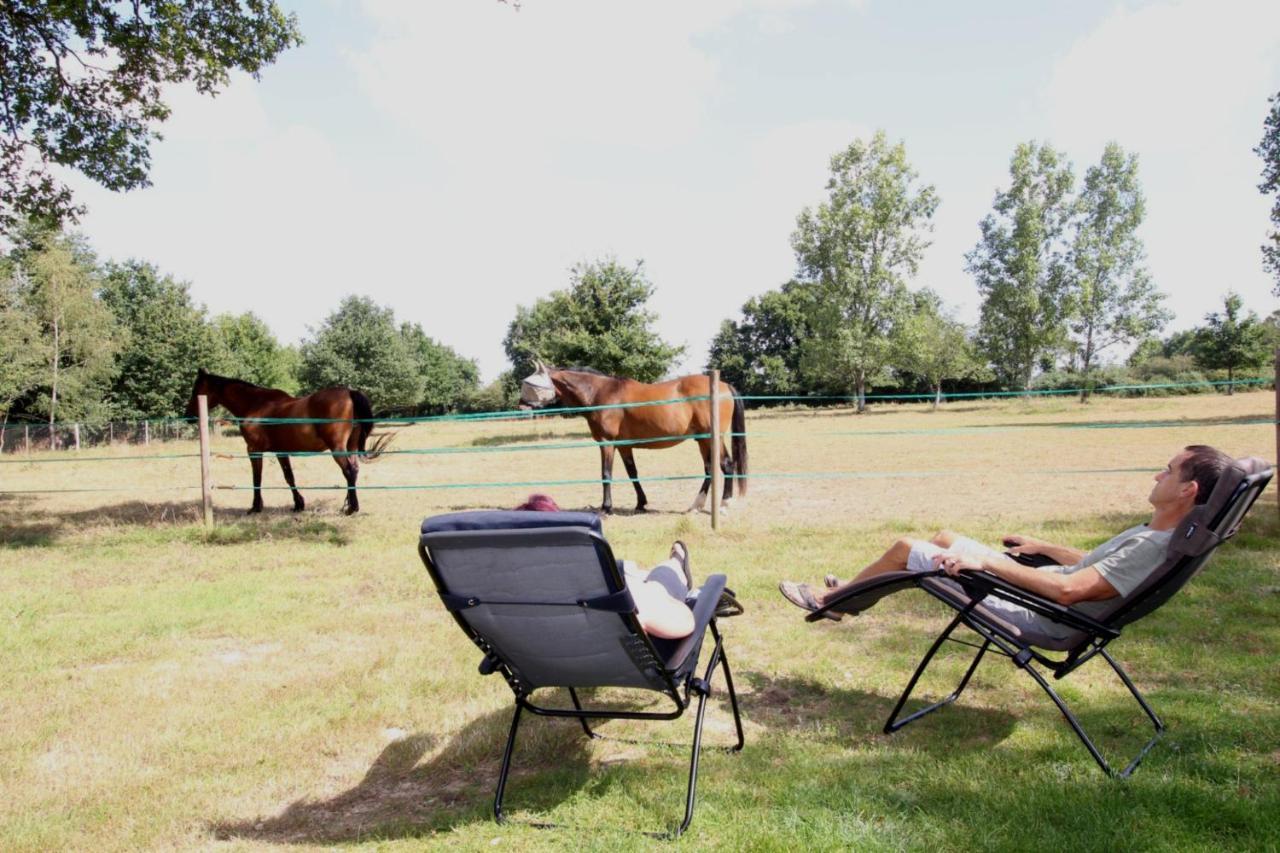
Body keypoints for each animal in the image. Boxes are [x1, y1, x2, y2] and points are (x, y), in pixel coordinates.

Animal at [183, 366, 386, 512]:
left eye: (195, 390)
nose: (188, 416)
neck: (256, 404)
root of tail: (349, 392)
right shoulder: (281, 451)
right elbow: (289, 476)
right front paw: (298, 504)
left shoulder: (254, 450)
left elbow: (257, 477)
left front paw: (256, 507)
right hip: (350, 446)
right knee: (355, 471)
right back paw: (350, 505)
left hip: (337, 448)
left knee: (349, 471)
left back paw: (351, 509)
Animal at [514, 358, 747, 512]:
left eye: (530, 383)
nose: (521, 406)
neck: (601, 393)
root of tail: (724, 386)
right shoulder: (624, 445)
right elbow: (632, 472)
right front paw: (640, 503)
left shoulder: (607, 443)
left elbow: (606, 474)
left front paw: (606, 507)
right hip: (702, 440)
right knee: (710, 468)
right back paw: (696, 505)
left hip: (712, 438)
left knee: (726, 464)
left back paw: (724, 503)